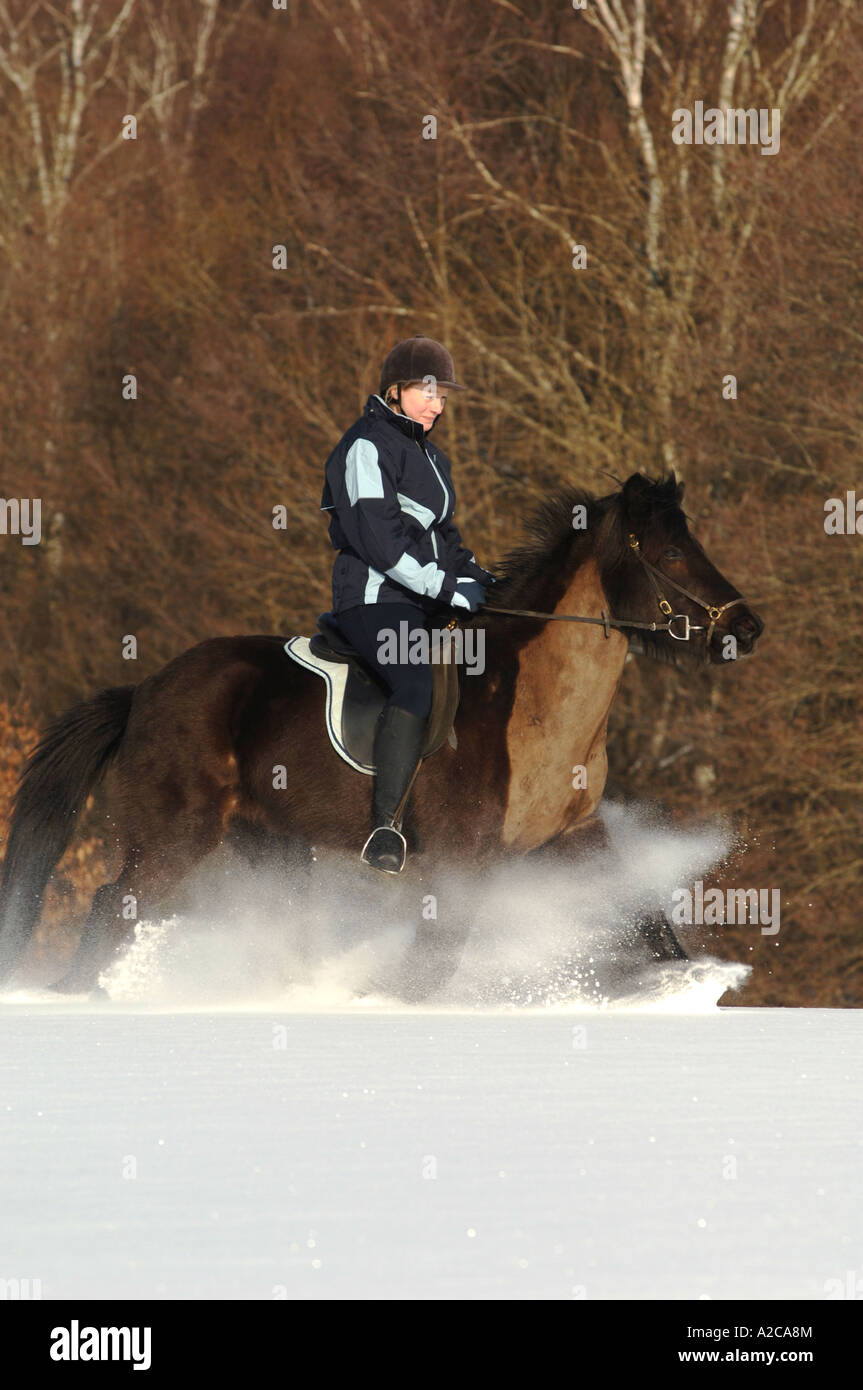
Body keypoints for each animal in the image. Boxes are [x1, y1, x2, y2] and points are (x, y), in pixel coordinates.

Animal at [0, 471, 763, 999]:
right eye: (670, 551)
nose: (746, 628)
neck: (536, 706)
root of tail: (145, 693)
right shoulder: (462, 861)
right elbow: (433, 962)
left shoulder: (575, 838)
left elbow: (648, 922)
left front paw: (689, 985)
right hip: (174, 836)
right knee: (111, 906)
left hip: (271, 844)